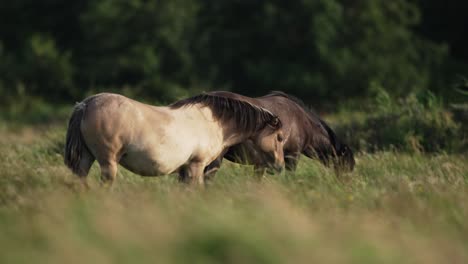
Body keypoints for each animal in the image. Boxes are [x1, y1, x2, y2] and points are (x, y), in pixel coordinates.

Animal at [65, 93, 286, 186]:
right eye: (280, 137)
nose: (280, 166)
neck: (213, 121)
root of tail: (86, 104)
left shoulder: (185, 169)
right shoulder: (196, 166)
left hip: (86, 158)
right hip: (108, 163)